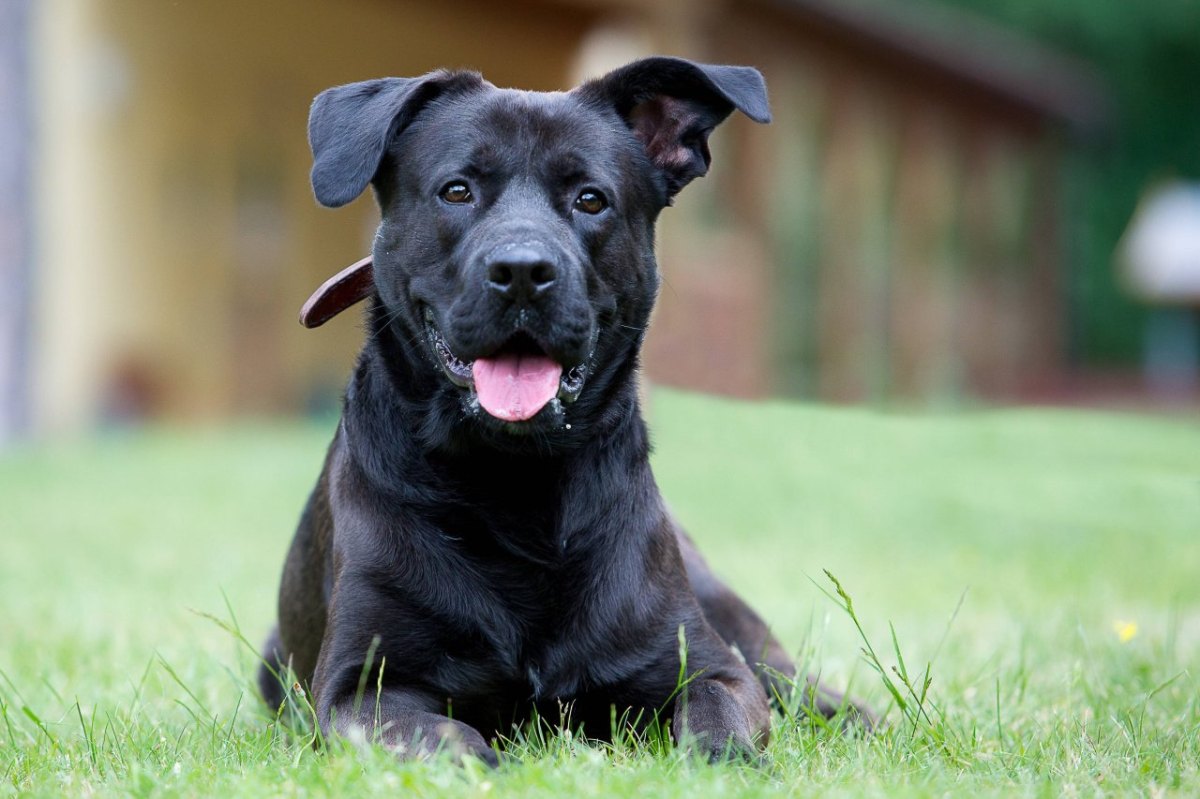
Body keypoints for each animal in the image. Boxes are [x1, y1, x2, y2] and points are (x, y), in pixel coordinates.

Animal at [258, 52, 868, 763]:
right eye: (457, 191)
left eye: (590, 199)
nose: (523, 271)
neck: (514, 486)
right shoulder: (361, 687)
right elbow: (446, 739)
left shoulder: (707, 665)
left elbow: (718, 723)